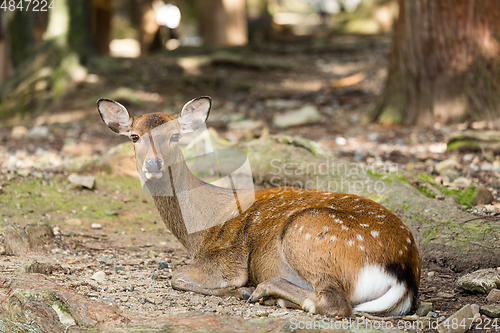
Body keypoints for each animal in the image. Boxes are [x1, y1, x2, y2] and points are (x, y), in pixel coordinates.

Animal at [95, 96, 420, 316]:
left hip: (307, 231)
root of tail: (404, 273)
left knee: (335, 302)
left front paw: (237, 290)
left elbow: (177, 276)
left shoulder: (227, 258)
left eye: (175, 135)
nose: (153, 164)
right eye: (134, 136)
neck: (196, 234)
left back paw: (261, 291)